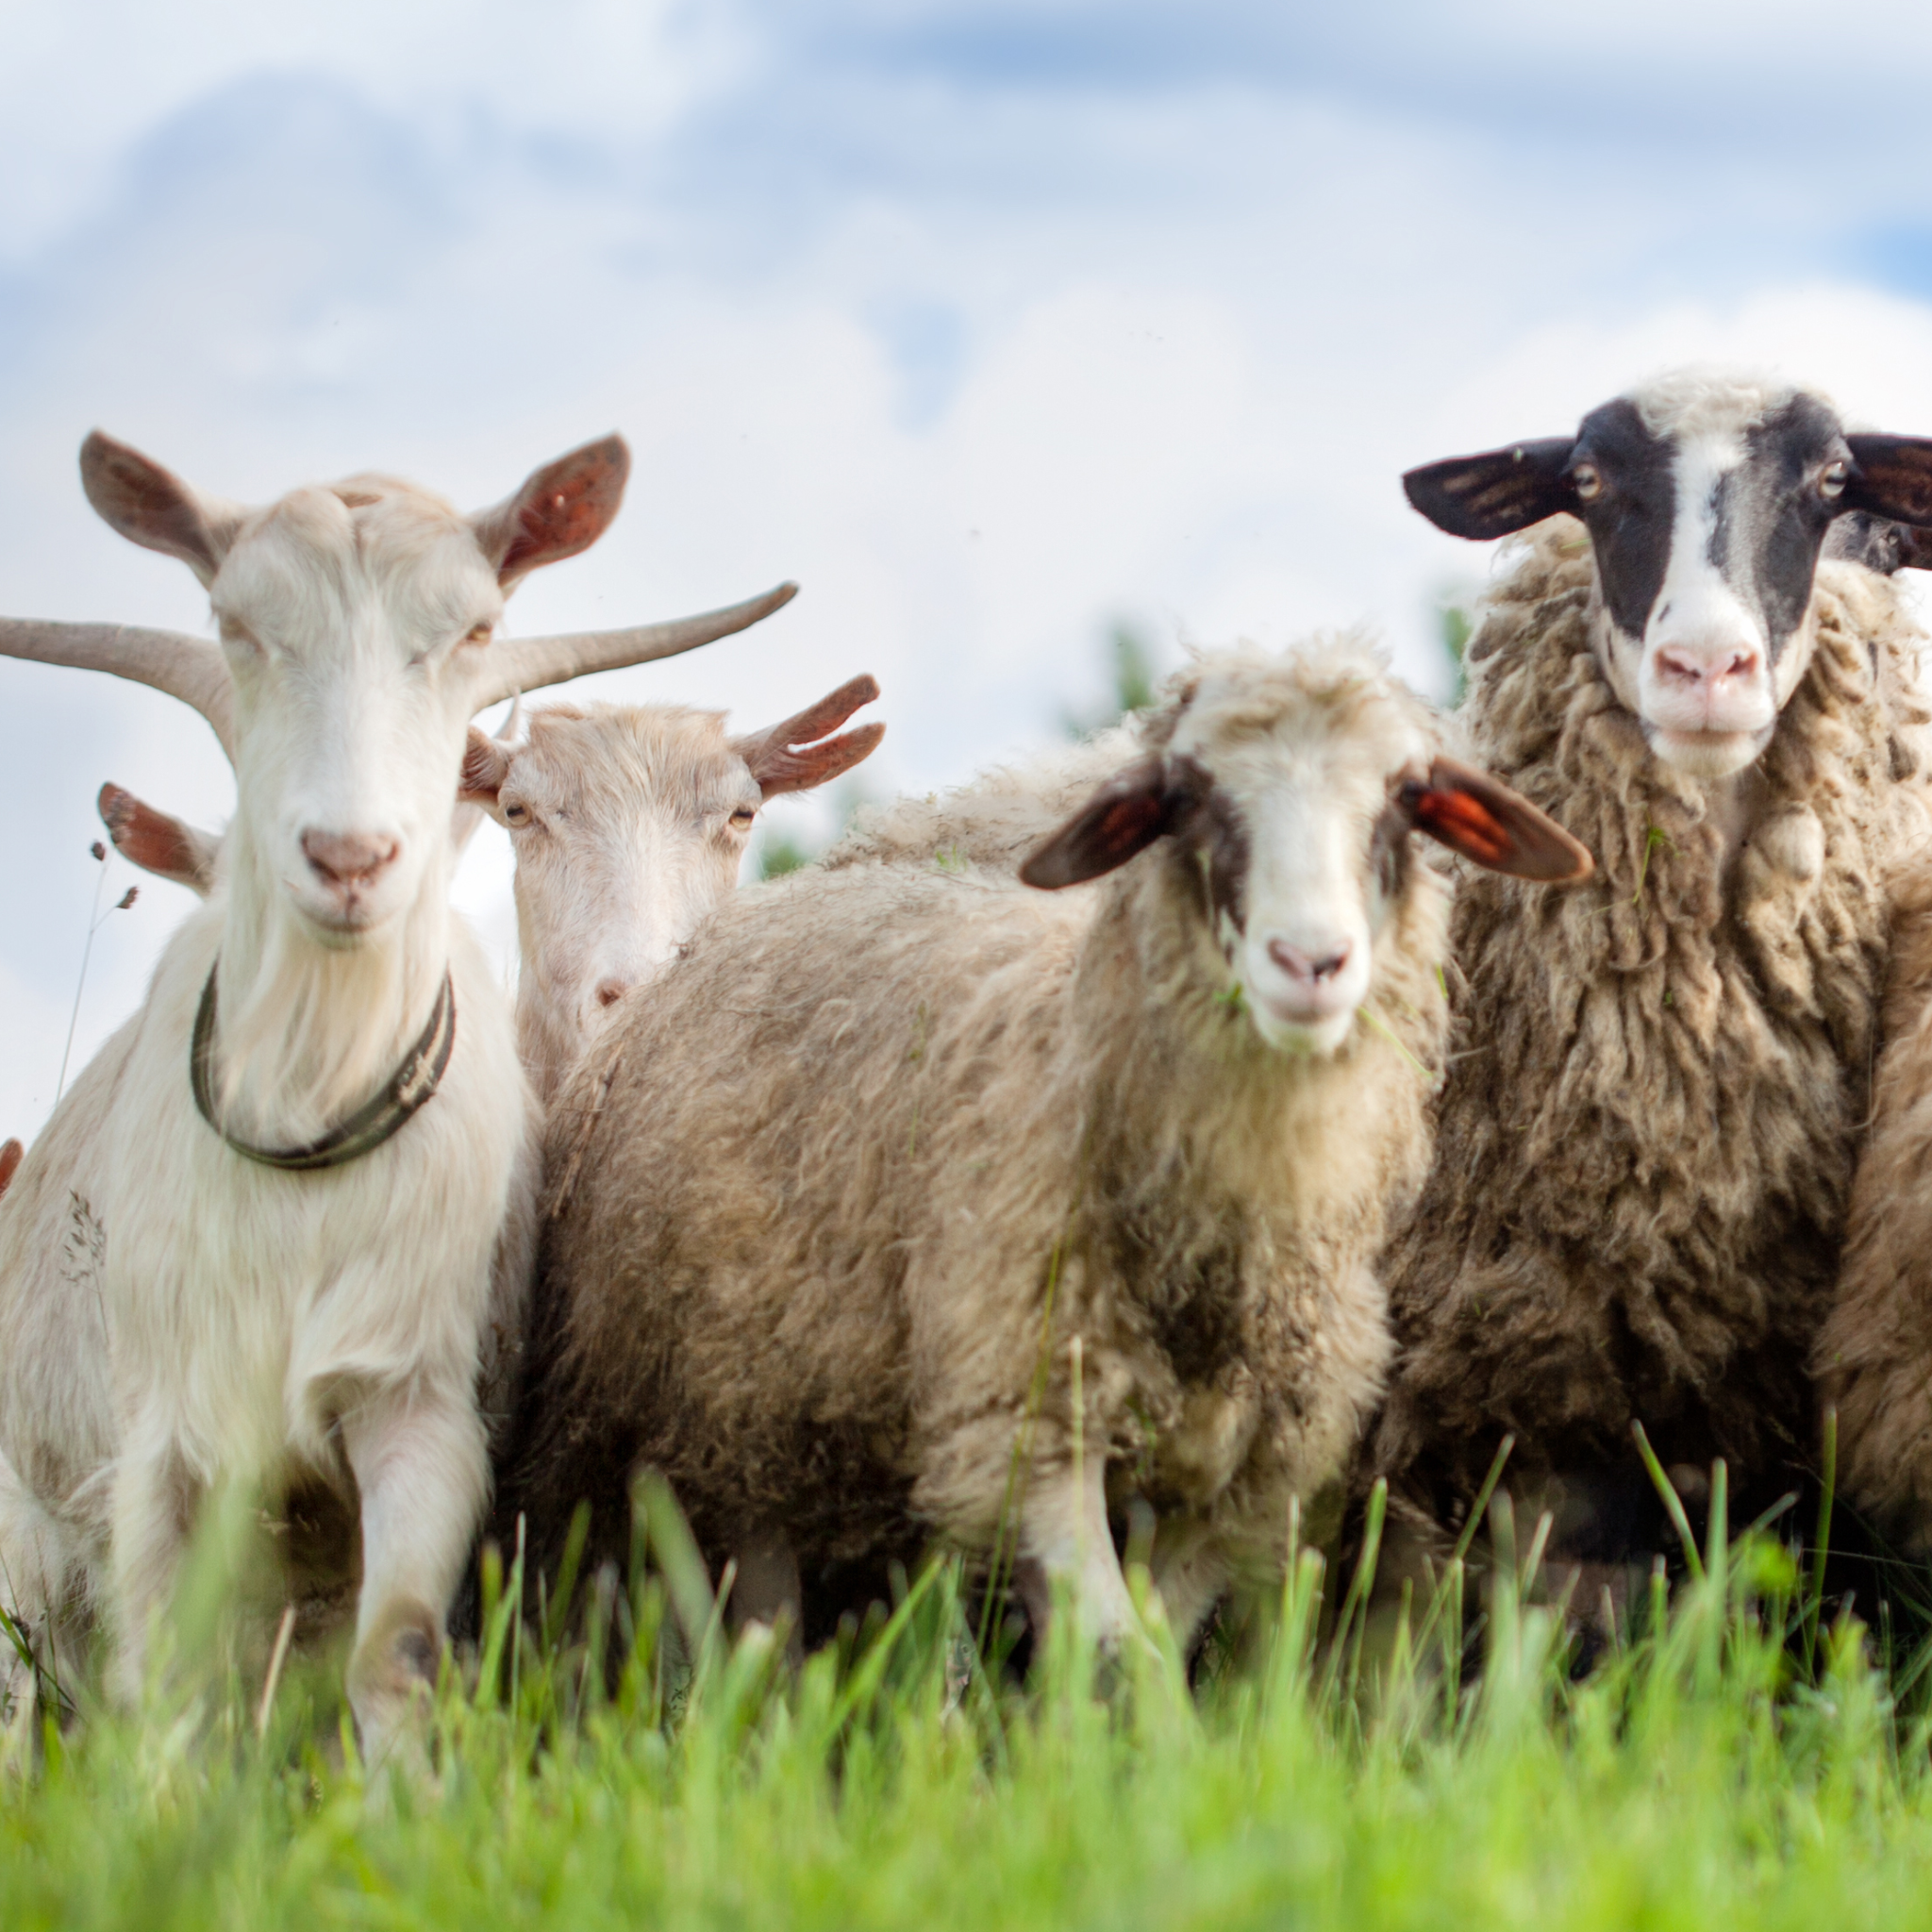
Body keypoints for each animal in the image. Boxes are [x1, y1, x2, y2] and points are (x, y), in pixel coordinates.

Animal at [0, 430, 792, 1753]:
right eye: (236, 625)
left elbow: (399, 1650)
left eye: (474, 629)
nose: (350, 856)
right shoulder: (162, 1446)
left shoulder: (421, 1408)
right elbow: (166, 1687)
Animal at [497, 640, 1589, 1652]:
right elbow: (1108, 1648)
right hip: (735, 1419)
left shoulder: (1246, 1481)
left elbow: (1153, 1646)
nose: (1312, 960)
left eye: (1406, 801)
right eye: (1187, 800)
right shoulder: (1025, 1419)